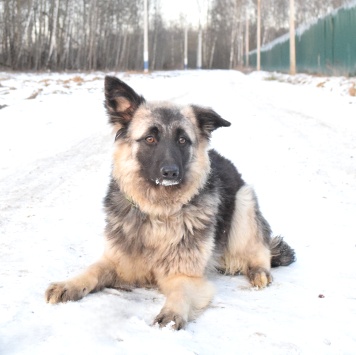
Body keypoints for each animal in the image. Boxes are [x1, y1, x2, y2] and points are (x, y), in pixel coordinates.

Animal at [45, 76, 294, 330]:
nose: (170, 173)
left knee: (260, 250)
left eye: (182, 140)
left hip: (244, 202)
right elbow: (93, 269)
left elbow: (180, 293)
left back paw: (258, 271)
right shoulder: (116, 260)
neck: (158, 209)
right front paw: (69, 284)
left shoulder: (186, 276)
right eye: (150, 138)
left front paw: (171, 313)